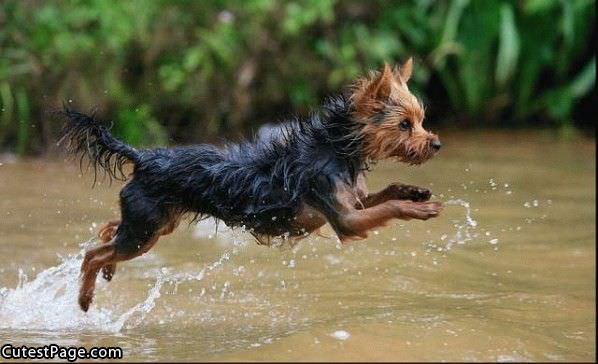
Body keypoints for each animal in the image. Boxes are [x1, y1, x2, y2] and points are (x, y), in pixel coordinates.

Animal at [62, 58, 446, 312]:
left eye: (420, 121)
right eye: (404, 125)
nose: (436, 144)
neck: (338, 148)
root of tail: (142, 157)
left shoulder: (354, 202)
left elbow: (388, 191)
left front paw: (414, 192)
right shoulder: (345, 218)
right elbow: (389, 207)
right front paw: (420, 208)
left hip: (155, 223)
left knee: (110, 229)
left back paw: (107, 264)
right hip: (144, 232)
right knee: (93, 253)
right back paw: (85, 297)